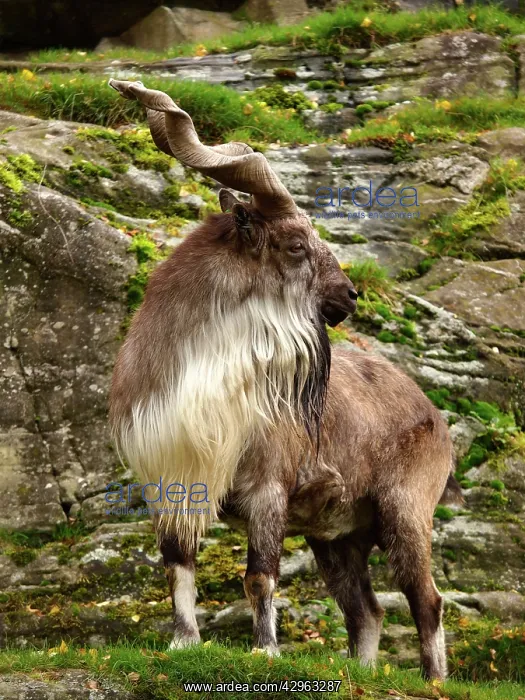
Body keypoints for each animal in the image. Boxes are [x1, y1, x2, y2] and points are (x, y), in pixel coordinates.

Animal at [108, 79, 462, 681]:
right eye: (296, 244)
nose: (349, 296)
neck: (200, 383)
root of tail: (433, 416)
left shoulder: (267, 491)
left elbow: (260, 575)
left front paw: (265, 650)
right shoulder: (170, 484)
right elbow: (178, 566)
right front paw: (184, 643)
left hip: (406, 512)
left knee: (427, 601)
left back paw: (434, 682)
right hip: (340, 537)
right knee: (365, 611)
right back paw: (360, 671)